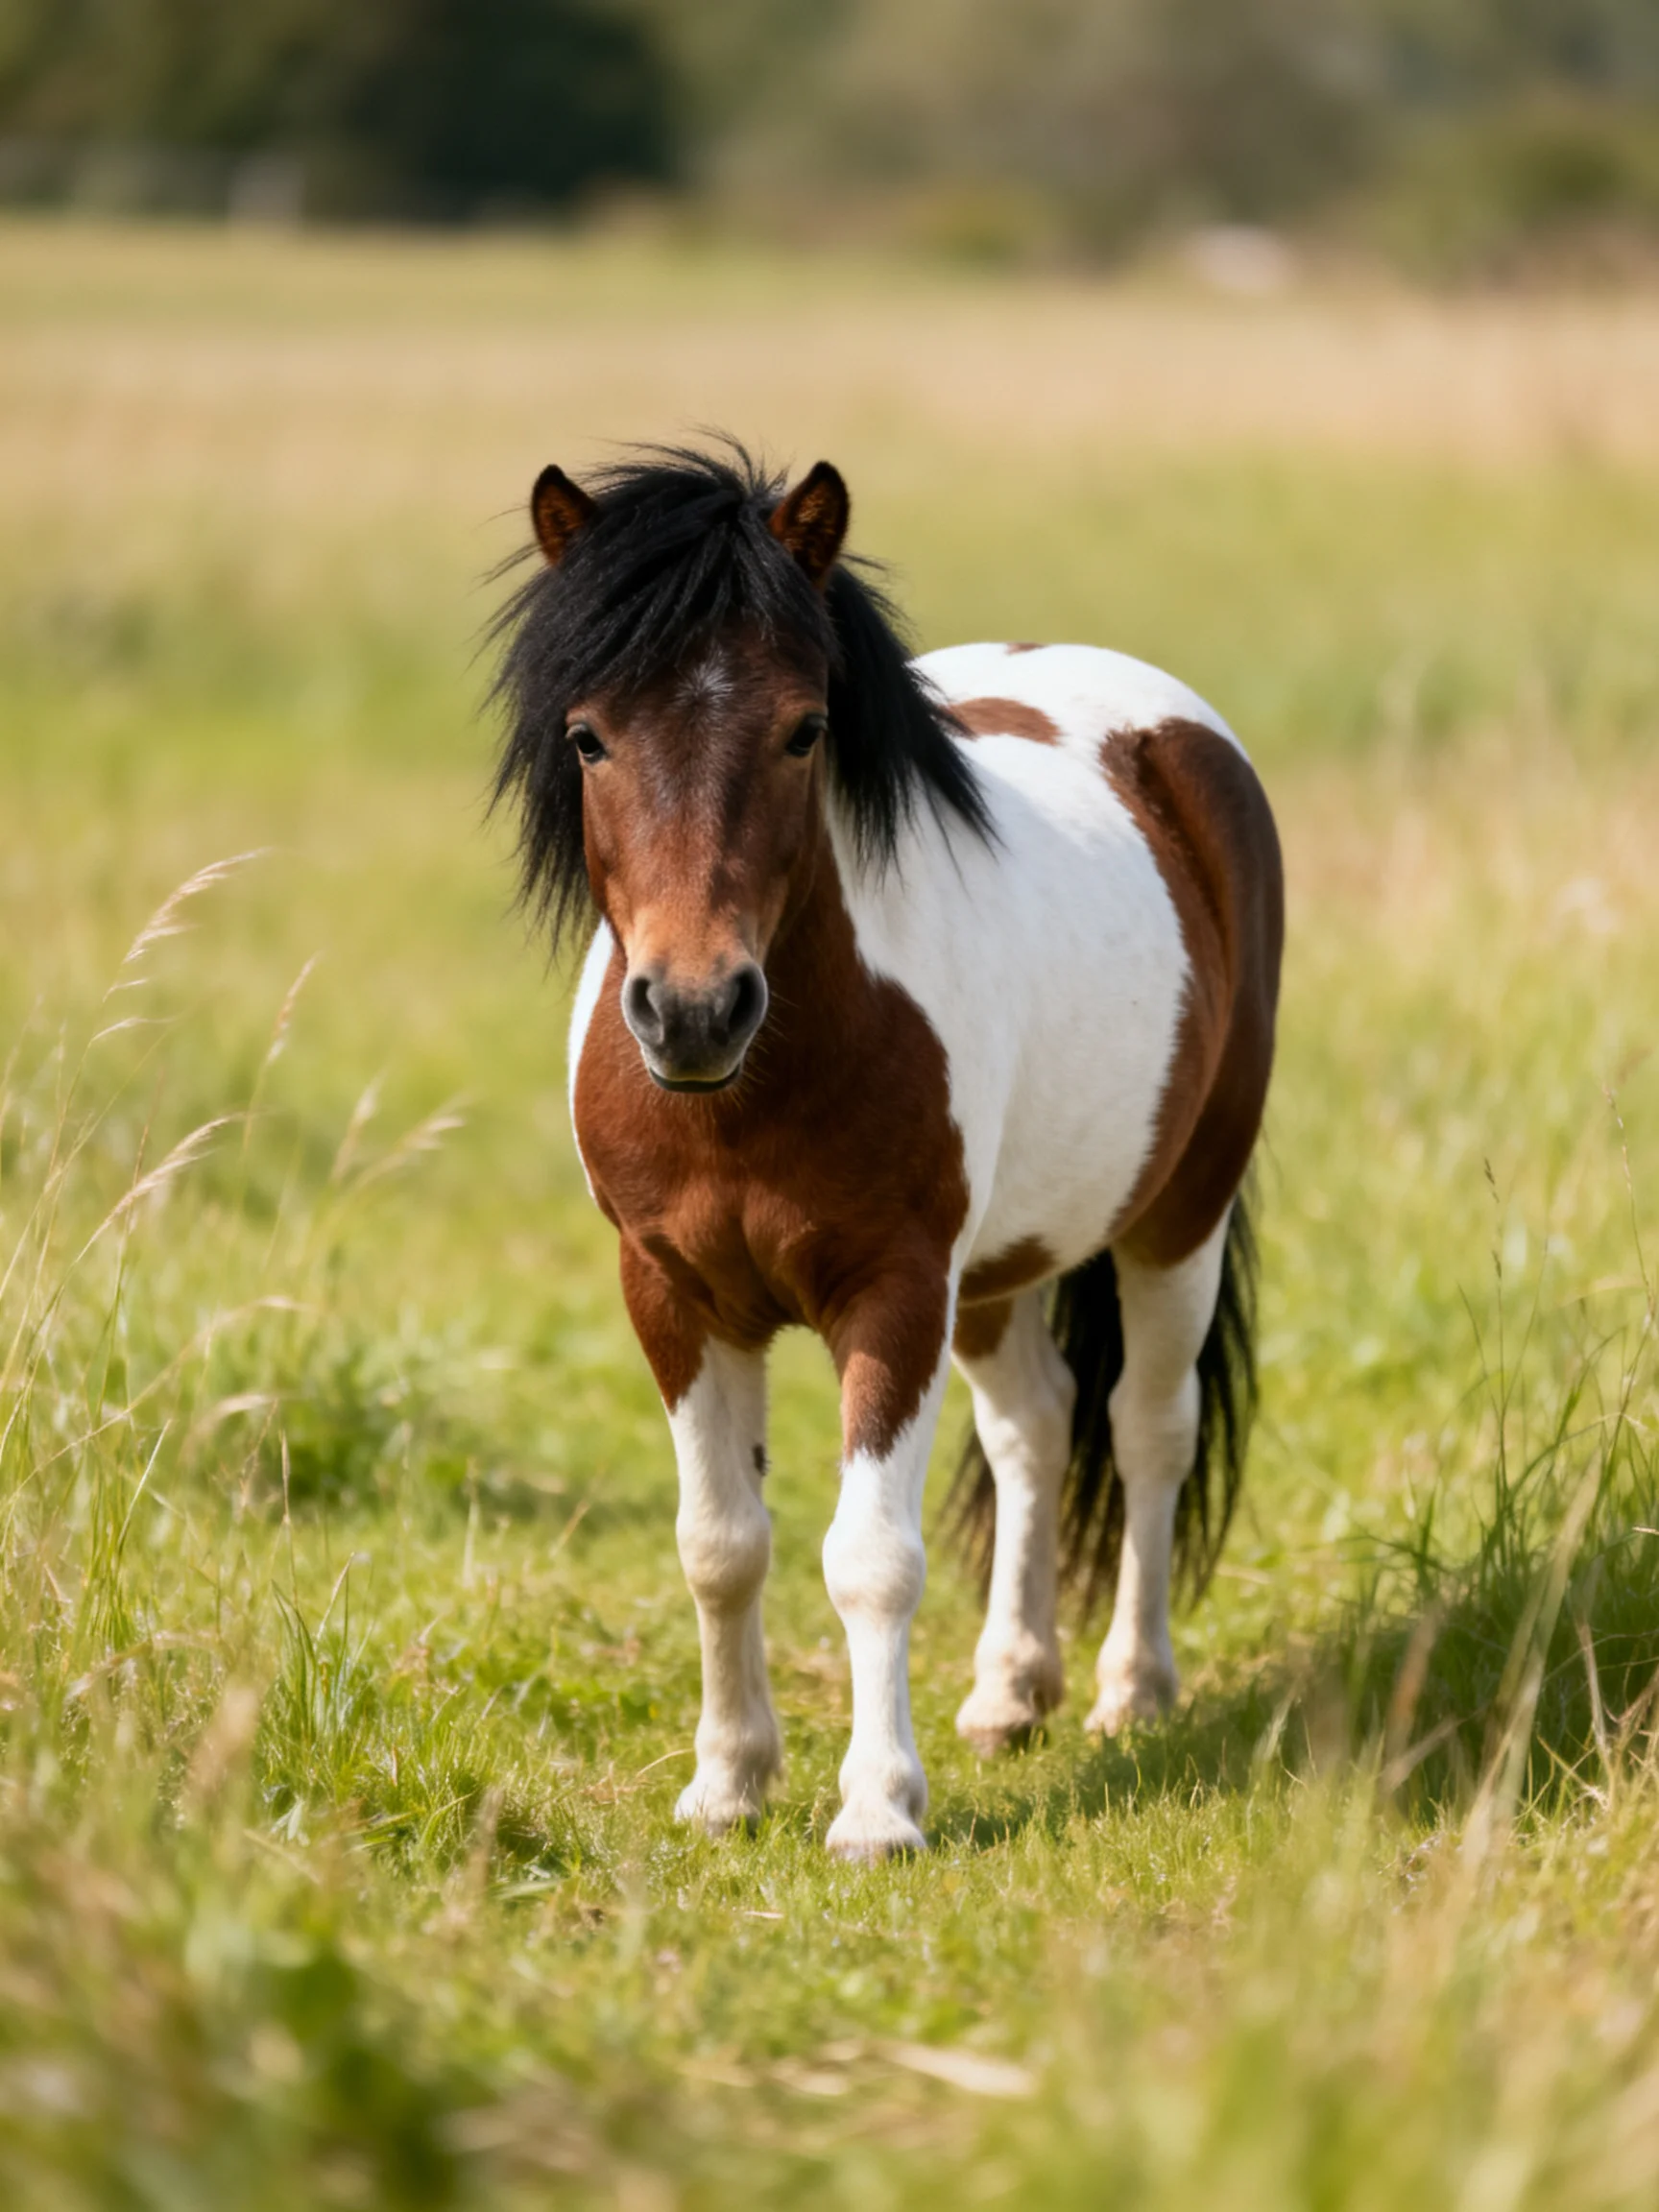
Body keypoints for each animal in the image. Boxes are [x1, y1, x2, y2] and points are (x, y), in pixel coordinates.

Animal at [491, 444, 1283, 1863]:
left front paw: (876, 1810)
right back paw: (1011, 1690)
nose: (694, 1008)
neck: (755, 1089)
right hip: (1005, 1264)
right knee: (1035, 1426)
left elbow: (871, 1558)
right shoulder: (675, 1297)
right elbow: (720, 1543)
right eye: (588, 735)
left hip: (1175, 1220)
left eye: (806, 728)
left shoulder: (895, 1292)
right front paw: (729, 1783)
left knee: (1147, 1431)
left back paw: (1133, 1693)